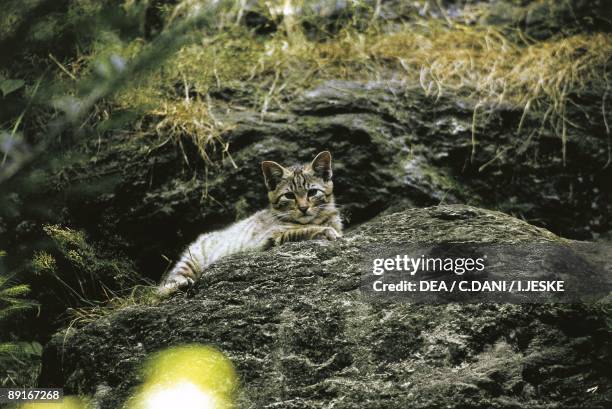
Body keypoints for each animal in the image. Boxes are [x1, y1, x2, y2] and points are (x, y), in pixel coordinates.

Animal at [160, 151, 342, 292]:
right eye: (289, 196)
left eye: (312, 192)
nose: (303, 208)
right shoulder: (268, 238)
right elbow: (300, 231)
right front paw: (324, 231)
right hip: (191, 261)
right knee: (162, 287)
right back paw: (179, 284)